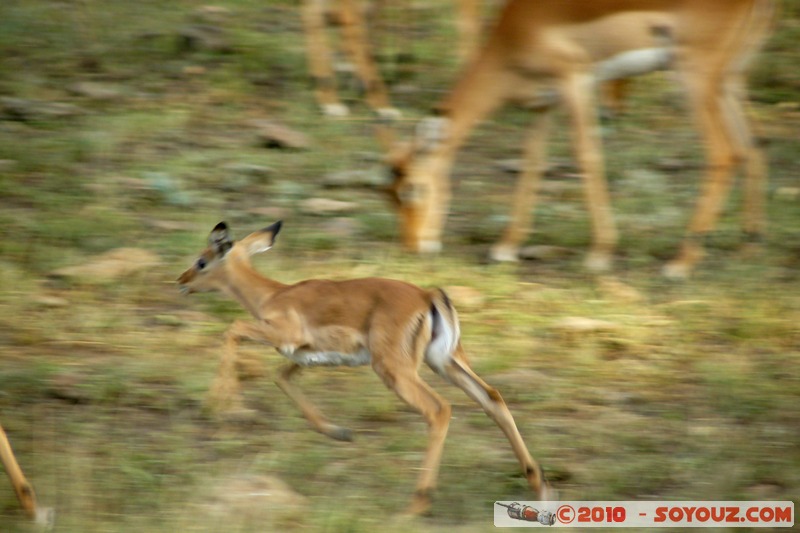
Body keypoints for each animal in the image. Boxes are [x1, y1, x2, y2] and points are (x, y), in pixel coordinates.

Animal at [177, 221, 550, 515]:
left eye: (202, 260)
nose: (181, 280)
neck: (272, 296)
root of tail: (428, 296)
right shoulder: (304, 358)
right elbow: (280, 377)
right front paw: (340, 432)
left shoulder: (285, 337)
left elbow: (233, 329)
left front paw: (218, 404)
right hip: (445, 362)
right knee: (492, 398)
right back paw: (539, 487)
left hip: (396, 370)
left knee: (439, 409)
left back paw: (416, 504)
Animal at [387, 0, 775, 278]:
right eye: (388, 194)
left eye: (412, 188)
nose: (411, 248)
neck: (513, 34)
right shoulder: (544, 106)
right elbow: (532, 164)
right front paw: (505, 248)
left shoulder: (575, 82)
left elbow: (588, 156)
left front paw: (599, 255)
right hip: (729, 80)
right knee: (753, 143)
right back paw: (750, 246)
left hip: (693, 75)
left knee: (725, 153)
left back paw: (680, 263)